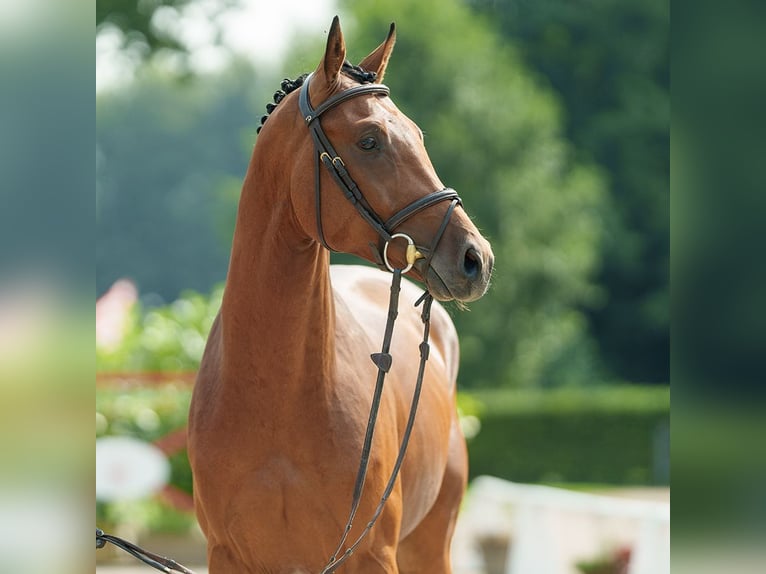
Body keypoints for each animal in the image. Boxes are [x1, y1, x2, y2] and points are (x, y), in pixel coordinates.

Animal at [189, 15, 496, 572]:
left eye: (417, 135)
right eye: (370, 140)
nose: (474, 258)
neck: (275, 396)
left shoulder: (371, 554)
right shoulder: (228, 556)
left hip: (431, 543)